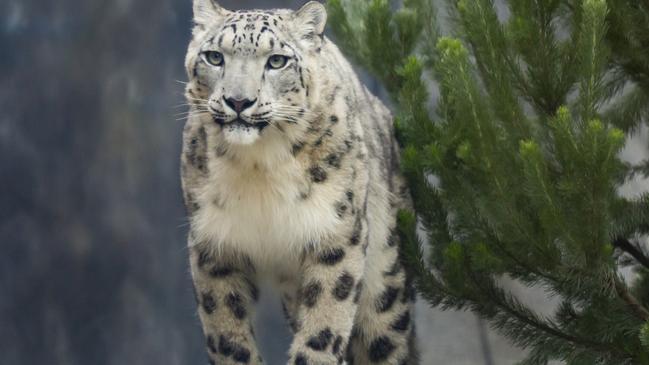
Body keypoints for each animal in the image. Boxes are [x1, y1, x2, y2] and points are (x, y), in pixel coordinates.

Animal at [181, 1, 416, 362]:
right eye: (215, 57)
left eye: (277, 61)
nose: (238, 101)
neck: (257, 166)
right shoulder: (214, 245)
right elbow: (227, 334)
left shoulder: (336, 233)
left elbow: (324, 324)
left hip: (384, 278)